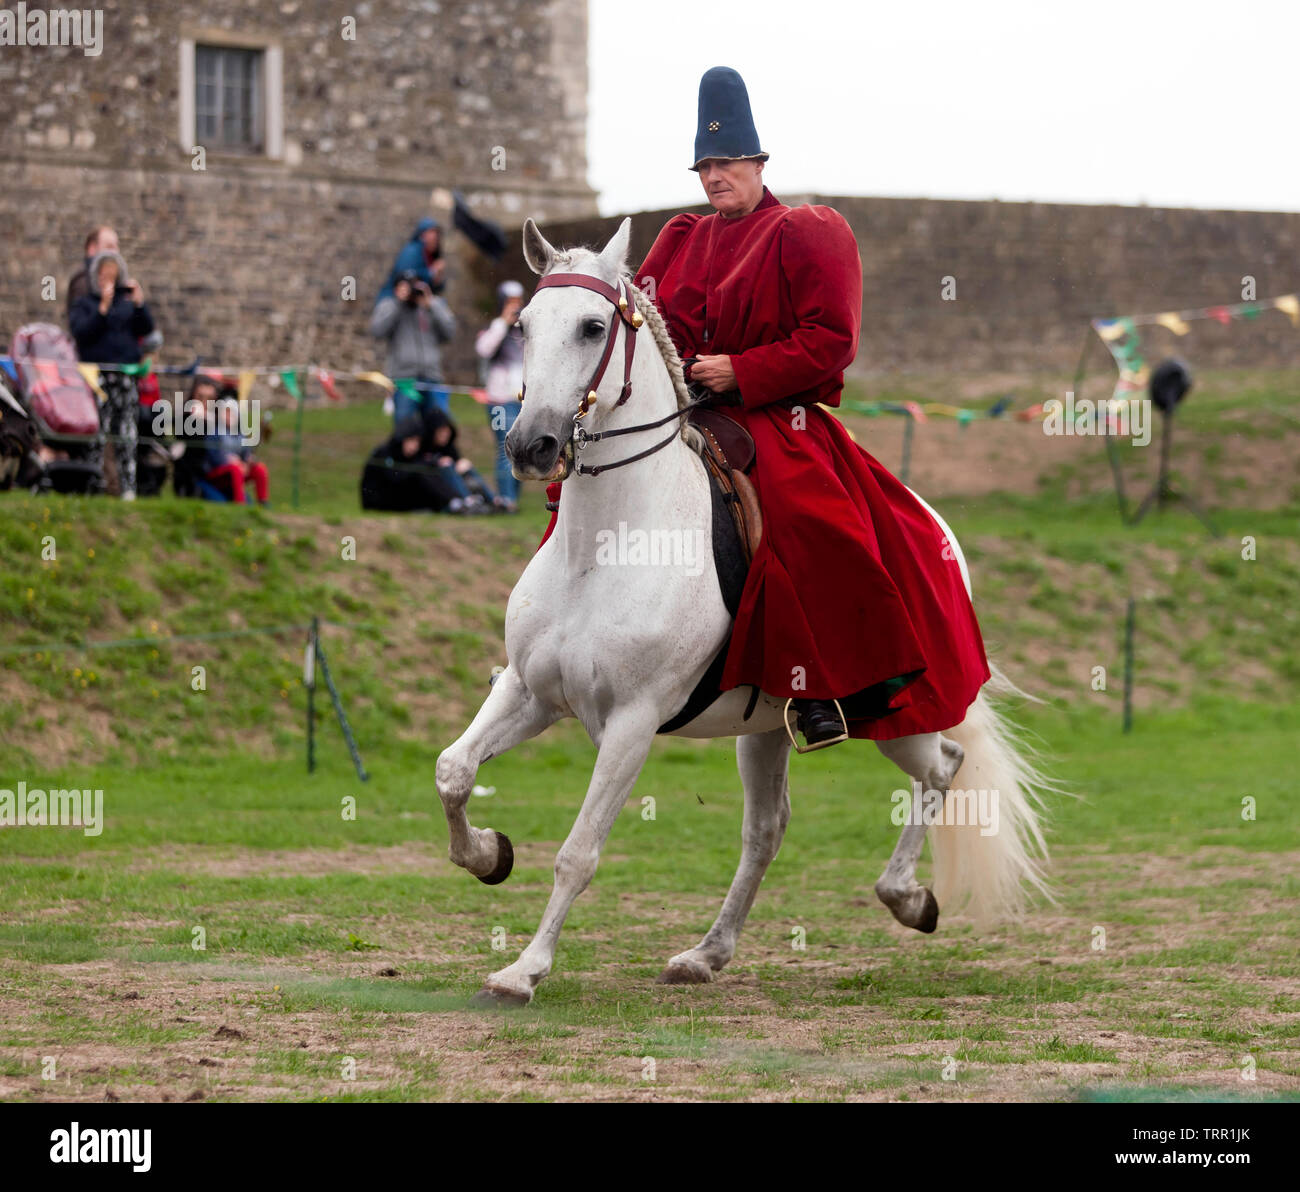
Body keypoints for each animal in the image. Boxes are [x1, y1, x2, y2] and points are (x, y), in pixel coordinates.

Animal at [435, 217, 1050, 1006]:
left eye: (593, 326)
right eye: (523, 326)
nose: (530, 445)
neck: (603, 545)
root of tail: (933, 523)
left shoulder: (631, 722)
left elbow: (578, 852)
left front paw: (524, 969)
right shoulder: (529, 691)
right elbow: (454, 771)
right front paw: (487, 854)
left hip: (895, 713)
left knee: (942, 766)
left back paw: (908, 898)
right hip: (764, 730)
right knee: (767, 830)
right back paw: (707, 953)